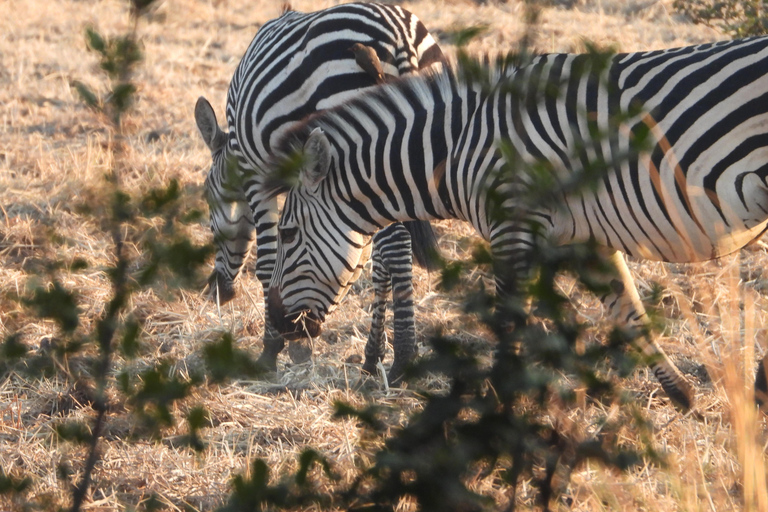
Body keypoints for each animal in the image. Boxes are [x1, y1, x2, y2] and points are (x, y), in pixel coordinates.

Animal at [192, 3, 444, 380]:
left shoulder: (256, 175)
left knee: (396, 246)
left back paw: (403, 354)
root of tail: (399, 36)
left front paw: (273, 348)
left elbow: (267, 263)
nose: (217, 292)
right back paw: (376, 357)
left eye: (209, 200)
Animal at [268, 37, 768, 412]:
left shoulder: (513, 224)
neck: (458, 146)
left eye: (287, 235)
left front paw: (498, 412)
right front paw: (682, 395)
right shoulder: (586, 238)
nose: (275, 324)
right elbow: (628, 313)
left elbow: (509, 324)